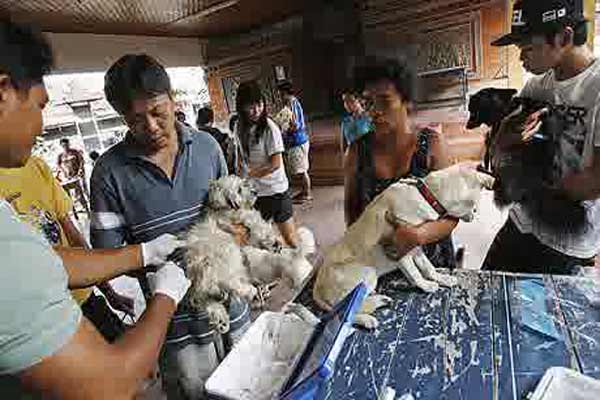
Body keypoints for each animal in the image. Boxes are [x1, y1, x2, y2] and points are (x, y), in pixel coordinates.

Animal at [184, 177, 314, 332]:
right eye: (239, 189)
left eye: (244, 183)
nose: (255, 192)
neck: (222, 209)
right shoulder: (242, 218)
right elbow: (257, 222)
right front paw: (273, 242)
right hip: (227, 259)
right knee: (230, 286)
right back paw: (249, 293)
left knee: (211, 300)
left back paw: (222, 319)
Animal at [312, 162, 494, 328]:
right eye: (475, 207)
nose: (474, 215)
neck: (426, 195)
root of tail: (317, 290)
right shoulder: (401, 252)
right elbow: (415, 274)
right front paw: (426, 286)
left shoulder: (415, 244)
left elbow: (428, 267)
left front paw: (442, 278)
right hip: (368, 273)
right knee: (348, 311)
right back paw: (367, 318)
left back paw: (379, 299)